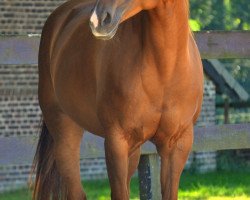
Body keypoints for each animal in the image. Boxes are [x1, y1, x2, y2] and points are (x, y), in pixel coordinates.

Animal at [33, 0, 203, 200]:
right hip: (65, 133)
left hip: (134, 149)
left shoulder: (177, 146)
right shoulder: (116, 142)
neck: (165, 71)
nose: (98, 21)